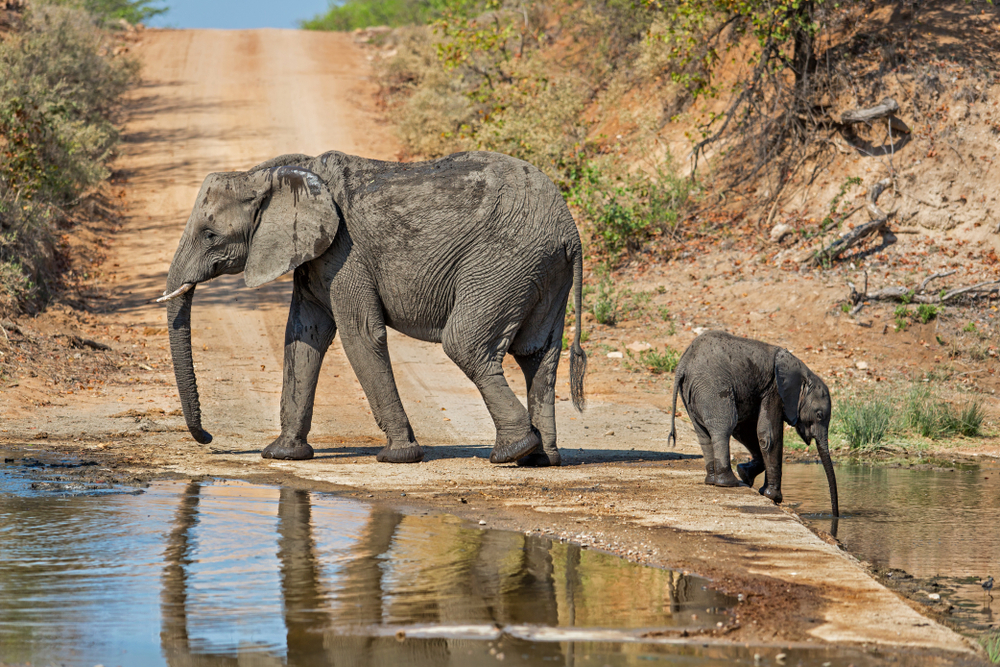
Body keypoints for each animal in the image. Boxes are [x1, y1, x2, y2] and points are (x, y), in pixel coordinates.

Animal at [158, 151, 584, 468]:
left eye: (210, 235)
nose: (208, 437)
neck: (274, 172)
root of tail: (571, 231)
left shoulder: (346, 253)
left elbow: (360, 335)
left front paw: (398, 457)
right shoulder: (317, 256)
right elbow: (303, 337)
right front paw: (282, 455)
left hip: (503, 261)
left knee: (467, 345)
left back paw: (511, 453)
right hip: (543, 270)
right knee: (537, 355)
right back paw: (541, 458)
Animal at [668, 332, 840, 516]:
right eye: (819, 415)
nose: (835, 515)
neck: (803, 371)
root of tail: (683, 364)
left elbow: (745, 431)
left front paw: (745, 474)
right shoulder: (774, 389)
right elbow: (768, 435)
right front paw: (773, 497)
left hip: (692, 394)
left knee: (704, 435)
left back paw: (712, 480)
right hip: (712, 388)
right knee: (724, 427)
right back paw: (729, 483)